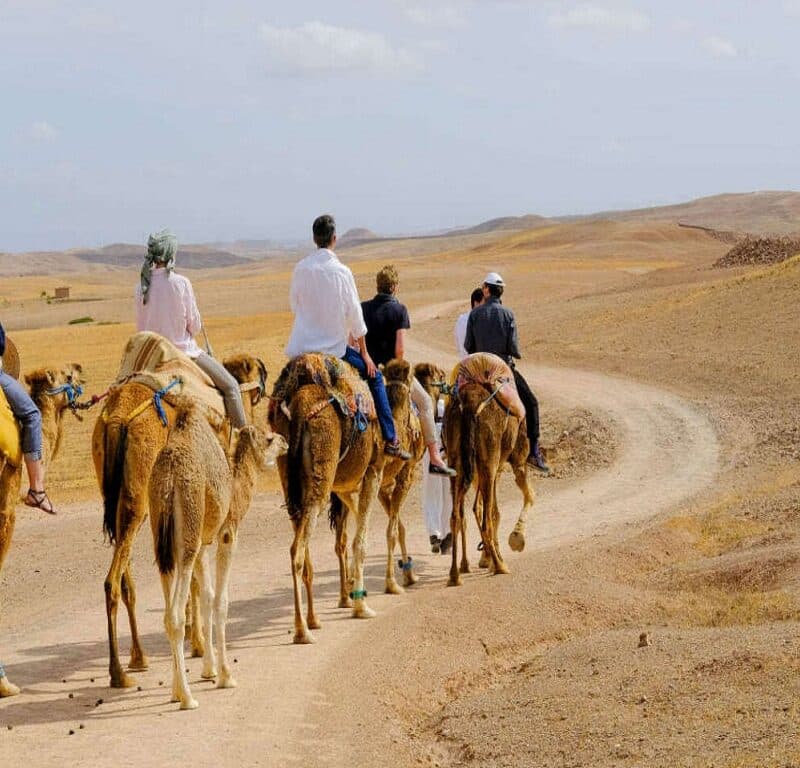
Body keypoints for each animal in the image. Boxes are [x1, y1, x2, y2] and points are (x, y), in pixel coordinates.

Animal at [90, 352, 266, 688]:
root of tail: (118, 420)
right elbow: (195, 580)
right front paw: (197, 644)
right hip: (140, 498)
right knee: (112, 581)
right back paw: (118, 672)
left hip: (119, 498)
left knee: (123, 576)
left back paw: (137, 658)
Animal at [150, 402, 288, 708]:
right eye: (268, 438)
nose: (285, 441)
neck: (236, 487)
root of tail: (168, 480)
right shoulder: (227, 533)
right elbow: (221, 600)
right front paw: (226, 675)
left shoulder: (204, 542)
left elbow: (207, 596)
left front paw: (209, 669)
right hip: (188, 528)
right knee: (175, 615)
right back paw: (188, 698)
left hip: (162, 540)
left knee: (167, 610)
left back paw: (176, 691)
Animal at [270, 356, 386, 644]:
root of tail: (299, 407)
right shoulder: (373, 470)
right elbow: (359, 541)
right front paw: (361, 606)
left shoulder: (342, 485)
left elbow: (346, 536)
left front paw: (349, 593)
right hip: (321, 476)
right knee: (297, 551)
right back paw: (302, 630)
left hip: (291, 479)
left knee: (303, 546)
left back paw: (312, 620)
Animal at [444, 368, 536, 584]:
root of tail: (469, 404)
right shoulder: (516, 461)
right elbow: (528, 496)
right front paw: (516, 538)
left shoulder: (493, 469)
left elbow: (490, 509)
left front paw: (486, 557)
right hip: (489, 460)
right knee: (484, 518)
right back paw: (500, 566)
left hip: (457, 463)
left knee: (456, 516)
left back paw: (456, 573)